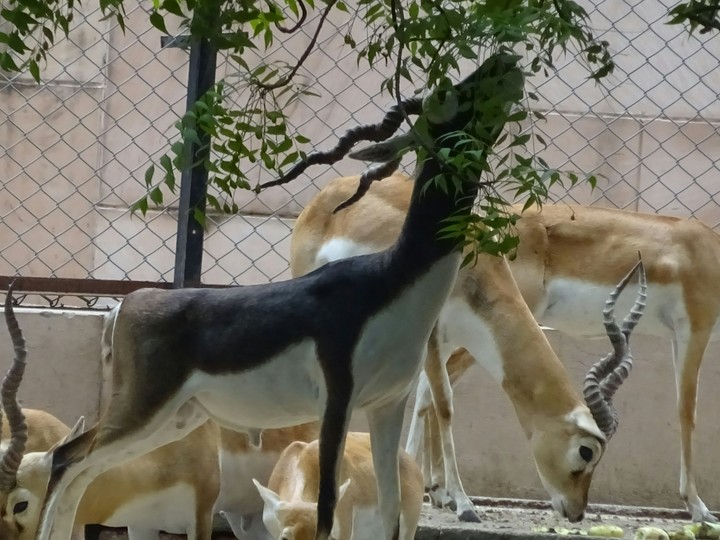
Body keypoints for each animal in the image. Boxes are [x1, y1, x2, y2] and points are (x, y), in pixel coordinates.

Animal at [289, 172, 647, 523]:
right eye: (587, 451)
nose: (576, 512)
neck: (474, 265)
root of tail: (328, 192)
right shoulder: (431, 336)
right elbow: (445, 405)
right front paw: (462, 503)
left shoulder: (448, 341)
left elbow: (425, 401)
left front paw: (433, 490)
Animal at [412, 201, 720, 524]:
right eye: (587, 452)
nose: (576, 512)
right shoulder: (695, 329)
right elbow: (687, 412)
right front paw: (698, 507)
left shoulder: (676, 337)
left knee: (430, 386)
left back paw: (437, 492)